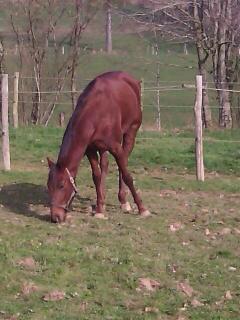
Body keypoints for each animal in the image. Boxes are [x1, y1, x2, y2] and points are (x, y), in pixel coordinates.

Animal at [47, 71, 150, 224]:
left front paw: (142, 209)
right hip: (102, 148)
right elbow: (96, 176)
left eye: (61, 185)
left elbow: (127, 175)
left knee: (123, 162)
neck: (96, 111)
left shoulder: (115, 147)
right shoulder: (90, 149)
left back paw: (123, 201)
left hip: (131, 133)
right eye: (48, 186)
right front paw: (100, 208)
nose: (56, 217)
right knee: (105, 166)